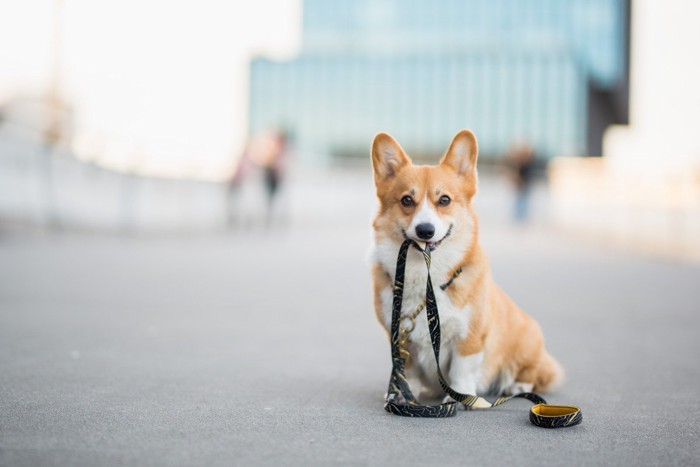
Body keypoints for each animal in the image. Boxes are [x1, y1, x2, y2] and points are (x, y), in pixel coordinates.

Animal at [372, 130, 564, 404]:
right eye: (407, 200)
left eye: (444, 200)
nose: (425, 230)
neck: (427, 278)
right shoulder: (399, 338)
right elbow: (407, 370)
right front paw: (402, 395)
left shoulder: (469, 338)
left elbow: (460, 370)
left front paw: (459, 397)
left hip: (526, 343)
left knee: (537, 373)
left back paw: (517, 386)